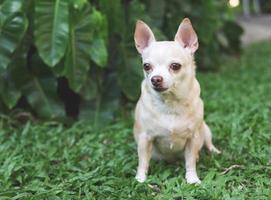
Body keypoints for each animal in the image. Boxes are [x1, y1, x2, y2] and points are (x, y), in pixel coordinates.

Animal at [134, 18, 221, 184]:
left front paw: (192, 179)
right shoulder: (144, 139)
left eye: (175, 66)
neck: (170, 103)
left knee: (208, 143)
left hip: (205, 130)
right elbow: (143, 161)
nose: (155, 79)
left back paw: (214, 151)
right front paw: (140, 179)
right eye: (146, 66)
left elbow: (190, 161)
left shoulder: (193, 138)